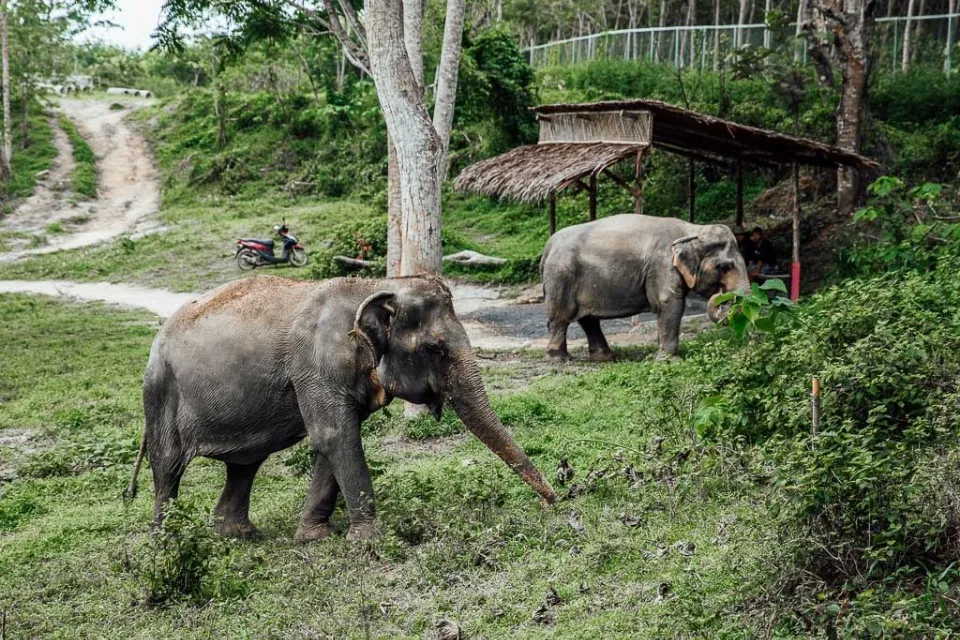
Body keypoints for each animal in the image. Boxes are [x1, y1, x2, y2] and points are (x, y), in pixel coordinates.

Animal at [127, 276, 556, 540]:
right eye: (436, 348)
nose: (554, 501)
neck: (376, 286)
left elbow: (335, 439)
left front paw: (313, 536)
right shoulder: (316, 366)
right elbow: (336, 436)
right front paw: (369, 541)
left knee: (245, 464)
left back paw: (237, 535)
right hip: (160, 391)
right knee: (168, 468)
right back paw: (166, 540)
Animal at [540, 215, 752, 362]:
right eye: (724, 267)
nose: (721, 294)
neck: (692, 229)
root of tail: (548, 245)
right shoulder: (662, 265)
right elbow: (668, 302)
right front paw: (669, 361)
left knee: (588, 319)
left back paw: (606, 358)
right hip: (560, 277)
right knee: (561, 317)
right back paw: (561, 359)